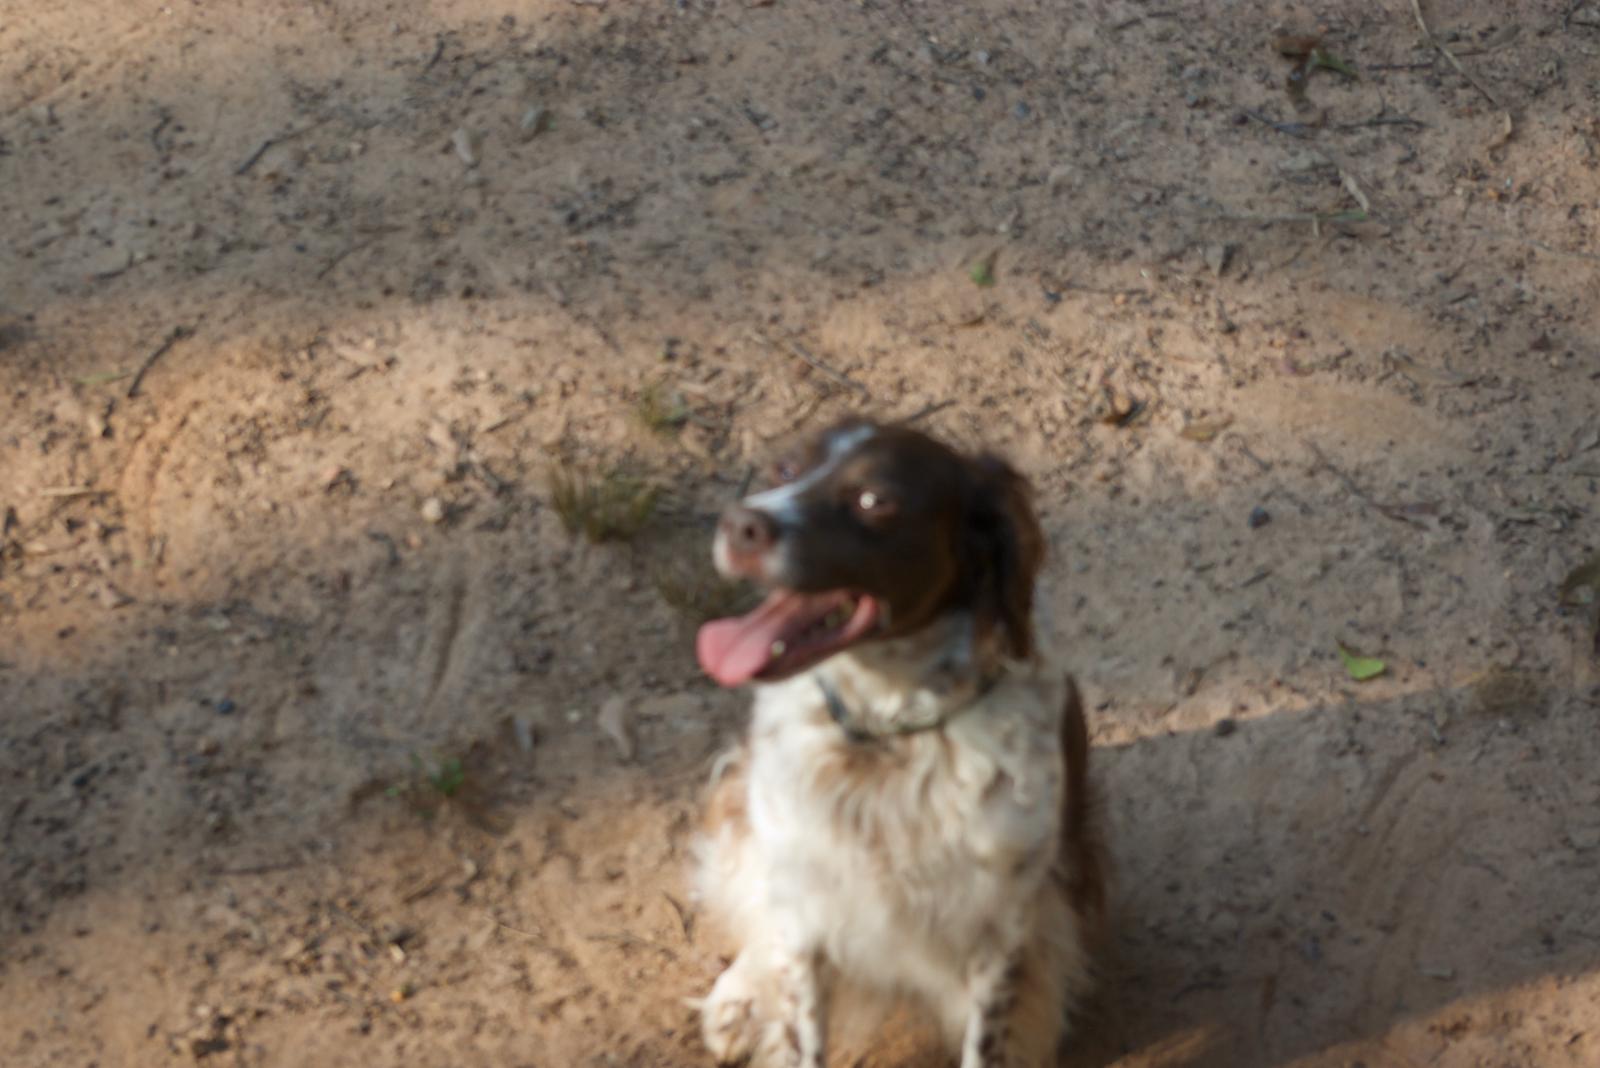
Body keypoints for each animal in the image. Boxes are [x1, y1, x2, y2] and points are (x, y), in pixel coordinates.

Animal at [691, 418, 1105, 1067]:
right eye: (785, 469)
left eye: (873, 499)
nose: (739, 524)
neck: (887, 739)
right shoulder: (804, 905)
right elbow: (799, 1025)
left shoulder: (1000, 926)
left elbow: (985, 1042)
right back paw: (739, 999)